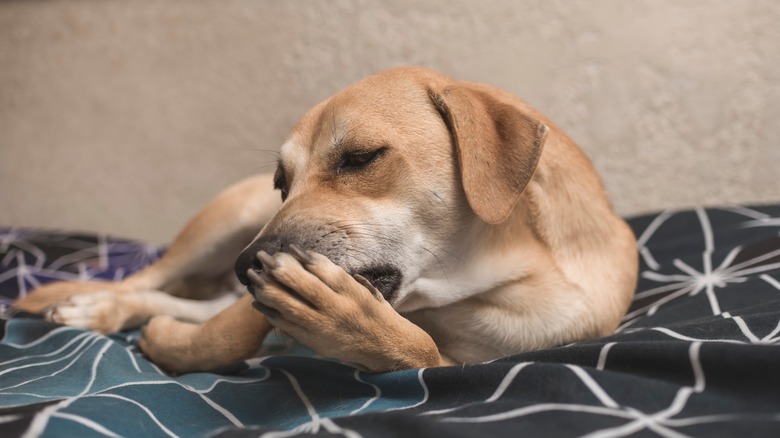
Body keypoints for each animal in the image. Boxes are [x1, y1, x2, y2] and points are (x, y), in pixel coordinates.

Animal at [15, 66, 636, 372]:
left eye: (360, 157)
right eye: (281, 183)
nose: (246, 266)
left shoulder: (463, 363)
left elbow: (418, 349)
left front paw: (351, 326)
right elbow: (225, 335)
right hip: (222, 223)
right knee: (144, 281)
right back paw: (85, 303)